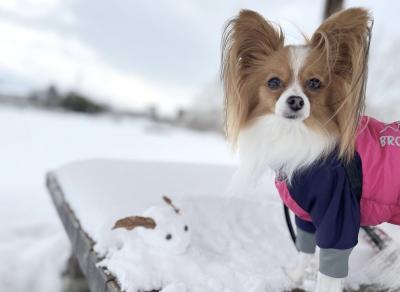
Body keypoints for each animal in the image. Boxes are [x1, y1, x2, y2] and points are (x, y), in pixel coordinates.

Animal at [220, 8, 400, 292]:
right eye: (273, 82)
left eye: (315, 83)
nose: (296, 101)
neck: (296, 135)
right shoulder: (306, 217)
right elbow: (304, 249)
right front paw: (294, 277)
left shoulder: (338, 214)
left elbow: (328, 273)